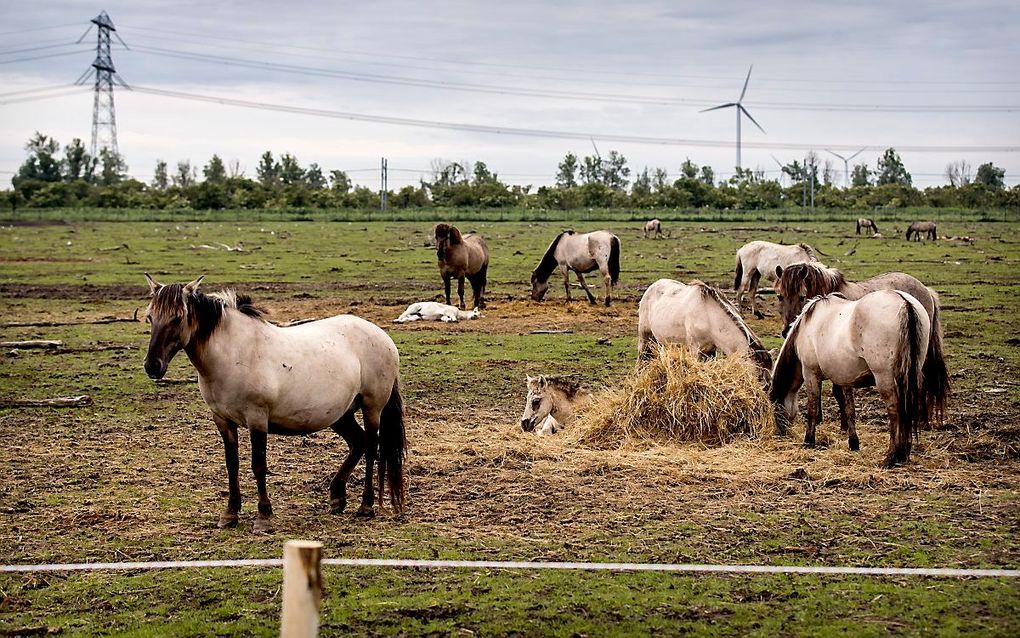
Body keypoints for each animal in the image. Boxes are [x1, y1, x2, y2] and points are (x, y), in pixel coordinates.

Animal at [143, 271, 405, 530]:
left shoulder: (257, 418)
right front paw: (230, 514)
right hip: (341, 414)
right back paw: (337, 497)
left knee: (371, 447)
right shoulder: (222, 420)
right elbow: (231, 465)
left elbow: (258, 466)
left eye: (177, 318)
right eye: (150, 318)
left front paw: (263, 516)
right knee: (358, 442)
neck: (234, 353)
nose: (152, 366)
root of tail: (382, 336)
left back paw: (366, 506)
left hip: (372, 408)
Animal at [636, 277, 771, 383]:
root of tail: (652, 286)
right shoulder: (695, 350)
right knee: (640, 358)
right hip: (644, 336)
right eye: (759, 377)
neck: (709, 316)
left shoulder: (711, 350)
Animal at [771, 289, 946, 467]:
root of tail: (904, 302)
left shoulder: (811, 373)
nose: (780, 433)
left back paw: (891, 456)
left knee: (895, 411)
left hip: (885, 378)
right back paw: (903, 454)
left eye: (775, 406)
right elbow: (849, 410)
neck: (806, 327)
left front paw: (808, 441)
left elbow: (812, 408)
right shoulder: (843, 378)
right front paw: (853, 443)